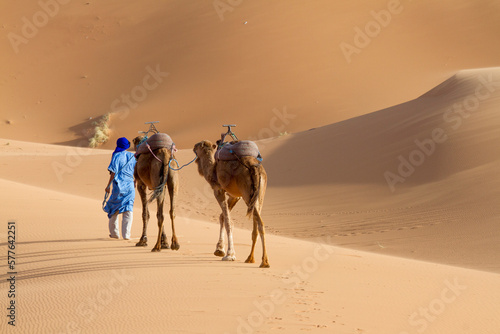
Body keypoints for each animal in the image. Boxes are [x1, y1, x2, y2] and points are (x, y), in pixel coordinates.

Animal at [193, 140, 270, 268]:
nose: (193, 147)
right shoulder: (235, 196)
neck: (212, 172)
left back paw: (264, 262)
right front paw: (219, 249)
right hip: (260, 194)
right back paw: (250, 258)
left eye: (199, 145)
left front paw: (229, 254)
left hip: (247, 193)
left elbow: (228, 221)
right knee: (256, 222)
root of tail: (254, 167)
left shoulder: (218, 191)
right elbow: (223, 217)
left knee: (260, 223)